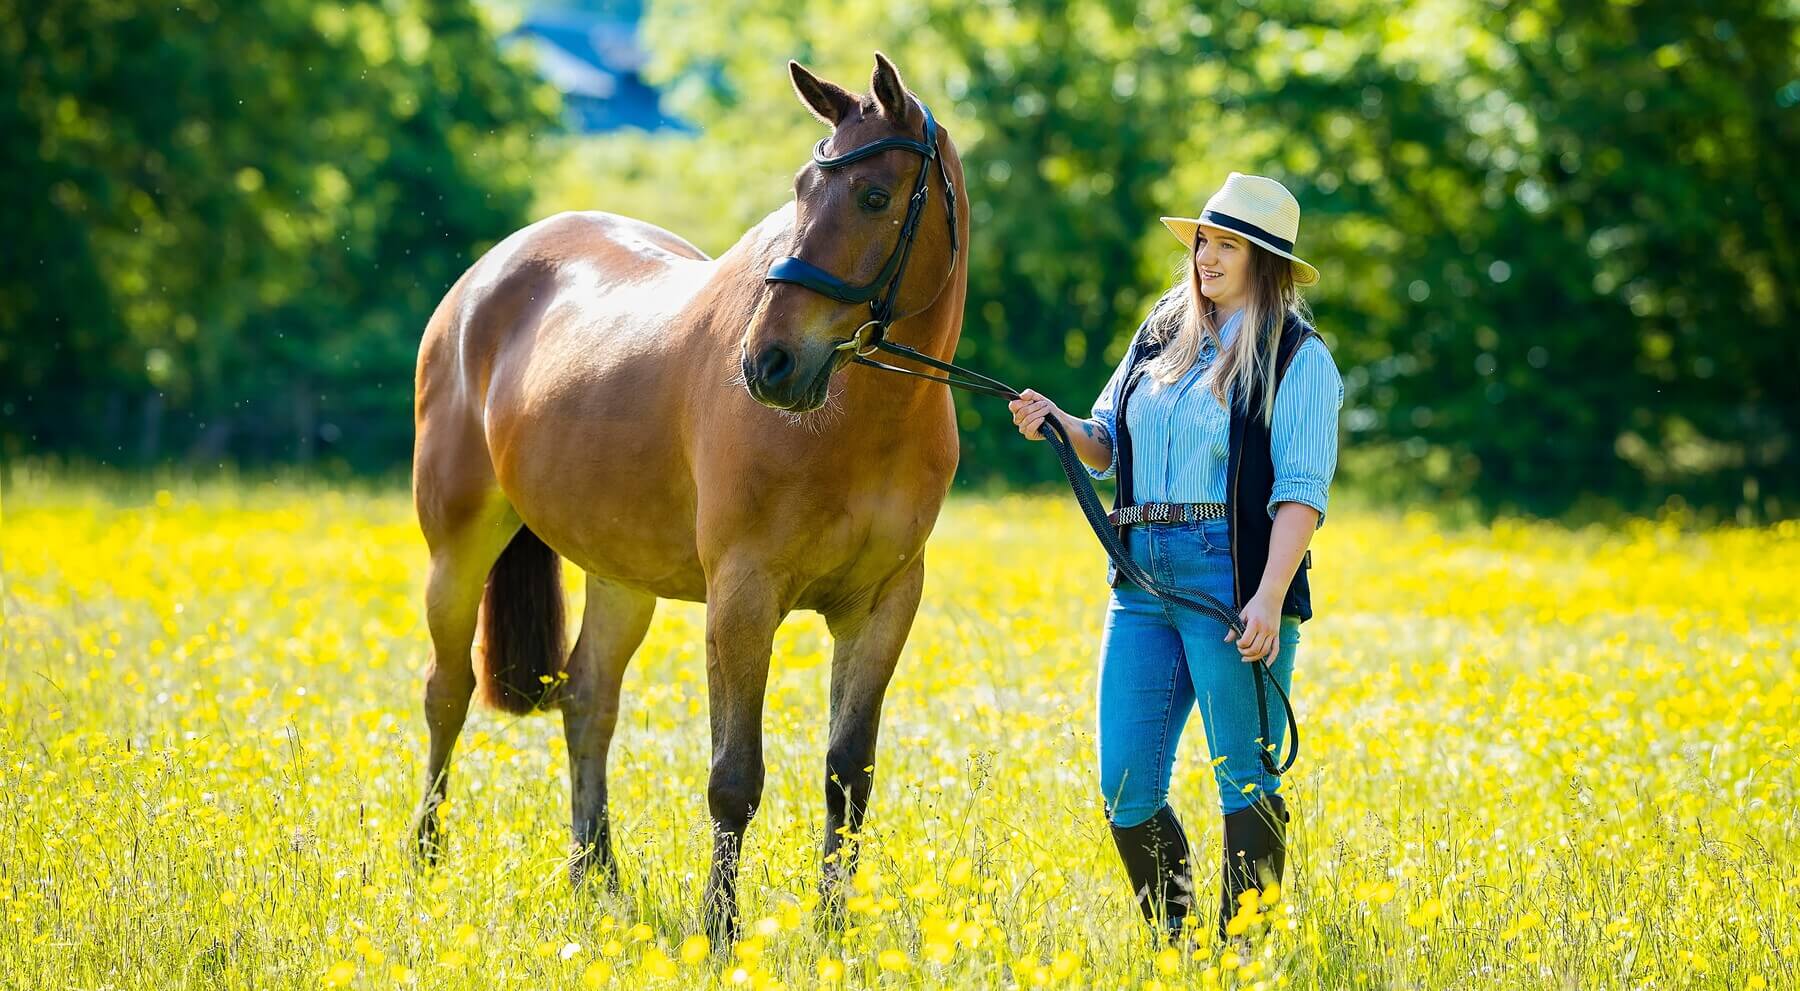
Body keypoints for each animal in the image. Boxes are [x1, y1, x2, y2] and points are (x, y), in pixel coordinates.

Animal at [408, 53, 969, 942]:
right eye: (803, 188)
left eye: (876, 196)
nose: (769, 362)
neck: (857, 419)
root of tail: (484, 279)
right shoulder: (741, 598)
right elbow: (733, 776)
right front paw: (722, 929)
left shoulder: (883, 604)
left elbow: (848, 774)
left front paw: (833, 929)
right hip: (457, 548)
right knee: (447, 691)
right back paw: (427, 854)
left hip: (619, 575)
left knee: (587, 699)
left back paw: (595, 873)